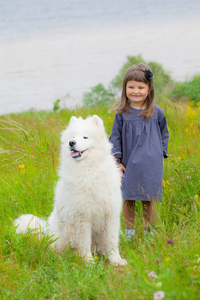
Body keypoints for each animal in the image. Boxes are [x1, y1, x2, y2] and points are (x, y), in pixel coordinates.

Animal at [13, 115, 126, 268]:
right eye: (72, 137)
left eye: (85, 137)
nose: (71, 143)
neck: (88, 169)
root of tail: (46, 232)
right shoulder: (81, 218)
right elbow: (84, 243)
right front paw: (88, 261)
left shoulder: (110, 215)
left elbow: (111, 241)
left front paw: (116, 260)